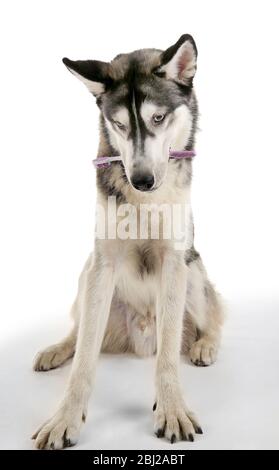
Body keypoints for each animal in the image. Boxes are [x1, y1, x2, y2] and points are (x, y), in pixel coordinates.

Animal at [33, 35, 225, 448]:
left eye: (158, 118)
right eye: (119, 124)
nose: (141, 180)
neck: (144, 202)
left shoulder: (174, 260)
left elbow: (168, 356)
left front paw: (171, 408)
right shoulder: (103, 262)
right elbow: (84, 358)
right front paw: (65, 417)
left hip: (193, 272)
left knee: (213, 316)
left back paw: (205, 344)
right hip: (86, 274)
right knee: (79, 332)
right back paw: (58, 349)